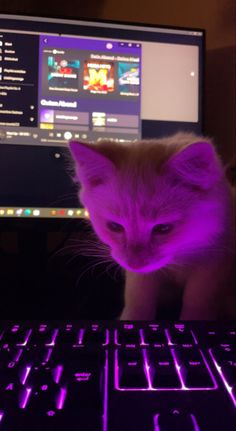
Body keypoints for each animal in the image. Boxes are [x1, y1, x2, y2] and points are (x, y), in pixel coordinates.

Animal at [69, 133, 235, 322]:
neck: (181, 255)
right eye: (114, 227)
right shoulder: (141, 277)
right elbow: (138, 300)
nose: (134, 264)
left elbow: (196, 303)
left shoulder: (212, 265)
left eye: (163, 228)